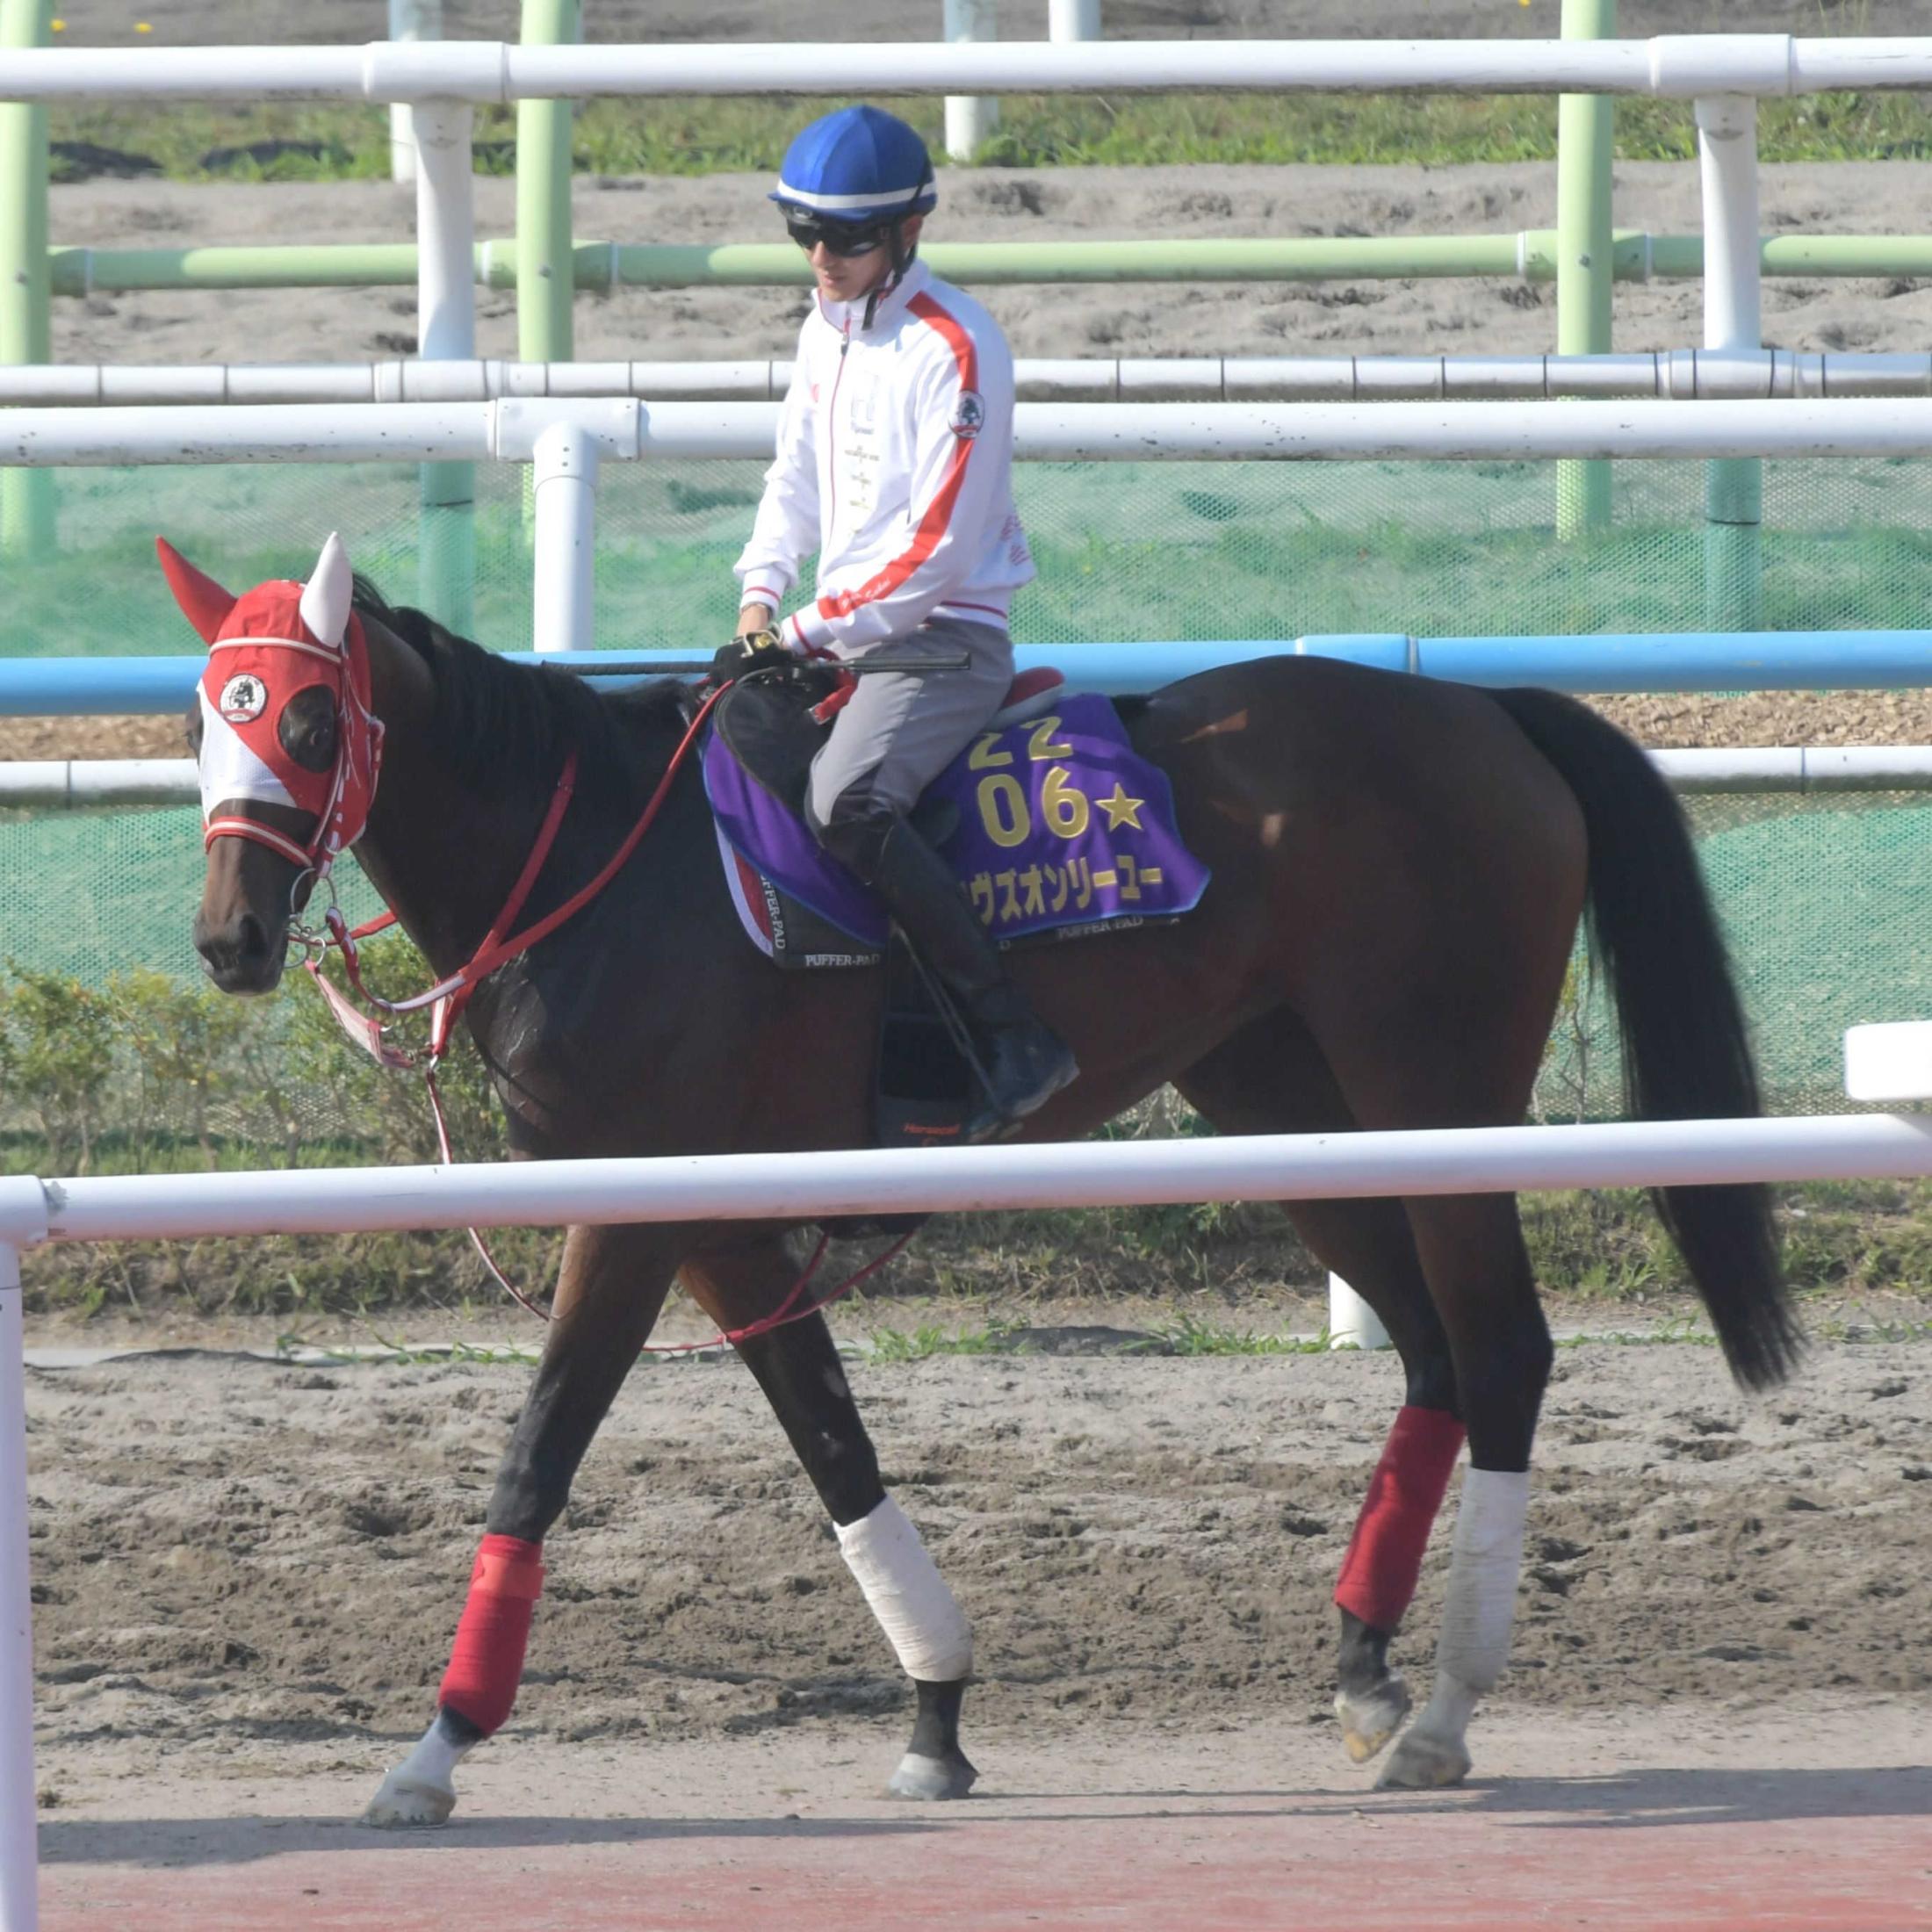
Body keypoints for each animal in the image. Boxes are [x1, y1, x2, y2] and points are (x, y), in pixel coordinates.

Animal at [162, 533, 1792, 1823]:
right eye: (203, 715)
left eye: (309, 715)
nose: (230, 937)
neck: (595, 864)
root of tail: (1482, 713)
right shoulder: (720, 1231)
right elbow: (834, 1449)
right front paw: (937, 1713)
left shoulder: (641, 1211)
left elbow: (541, 1452)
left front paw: (435, 1749)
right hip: (1290, 1105)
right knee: (1438, 1356)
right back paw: (1364, 1671)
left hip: (1437, 1097)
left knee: (1503, 1349)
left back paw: (1444, 1710)